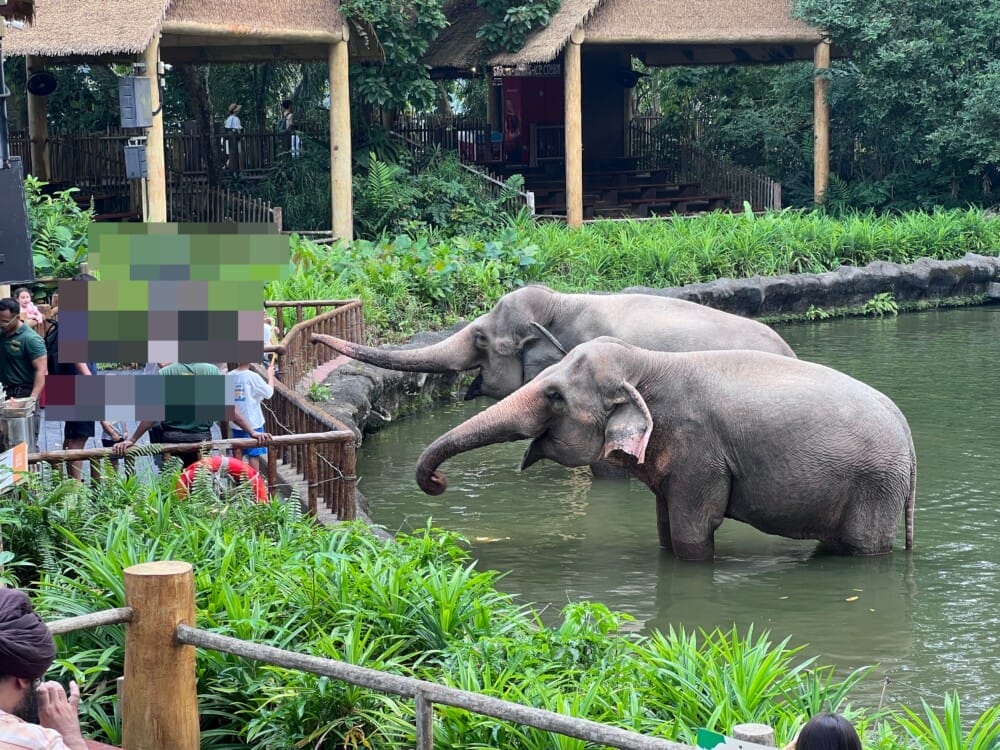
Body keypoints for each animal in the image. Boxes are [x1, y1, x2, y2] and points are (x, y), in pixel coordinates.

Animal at [412, 338, 916, 560]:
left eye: (554, 396)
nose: (437, 481)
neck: (648, 361)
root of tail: (911, 441)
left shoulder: (701, 453)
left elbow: (693, 531)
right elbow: (664, 529)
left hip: (875, 487)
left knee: (862, 548)